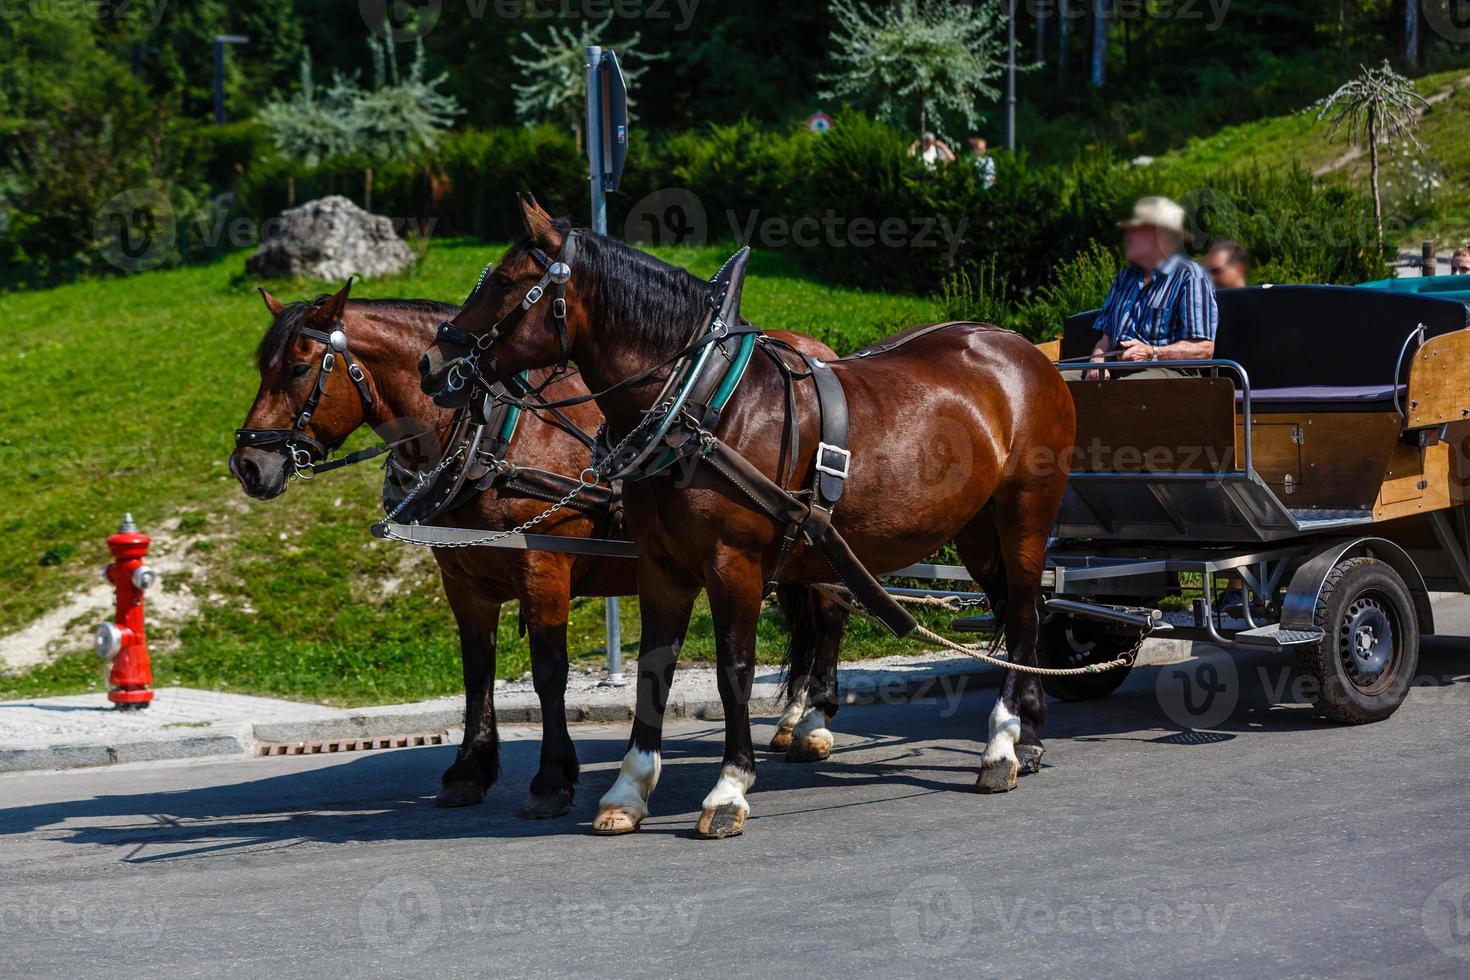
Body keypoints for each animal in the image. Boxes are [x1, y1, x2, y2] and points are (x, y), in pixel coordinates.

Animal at [230, 279, 852, 816]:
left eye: (298, 368)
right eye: (263, 368)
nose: (248, 465)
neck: (488, 434)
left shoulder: (543, 567)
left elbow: (549, 671)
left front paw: (552, 778)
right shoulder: (463, 580)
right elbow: (477, 671)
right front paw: (470, 769)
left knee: (830, 612)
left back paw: (814, 722)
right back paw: (793, 718)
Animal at [420, 201, 1076, 846]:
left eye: (506, 283)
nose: (433, 363)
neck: (704, 404)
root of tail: (1022, 349)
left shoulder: (732, 563)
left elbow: (734, 670)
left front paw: (729, 789)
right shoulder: (662, 566)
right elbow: (653, 668)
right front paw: (629, 790)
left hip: (1024, 515)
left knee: (1022, 613)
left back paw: (1001, 745)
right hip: (977, 530)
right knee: (1019, 612)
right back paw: (1029, 736)